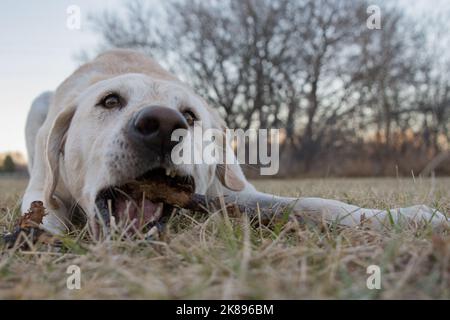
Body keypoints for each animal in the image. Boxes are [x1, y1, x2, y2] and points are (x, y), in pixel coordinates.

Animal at [22, 49, 448, 235]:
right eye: (109, 101)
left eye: (189, 115)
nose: (163, 125)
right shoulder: (43, 191)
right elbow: (41, 213)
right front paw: (34, 239)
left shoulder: (231, 193)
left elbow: (317, 202)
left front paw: (404, 217)